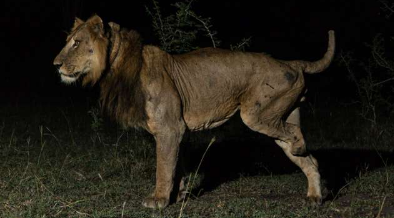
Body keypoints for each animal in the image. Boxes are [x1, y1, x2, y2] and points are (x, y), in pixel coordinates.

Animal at [53, 14, 336, 209]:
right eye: (68, 42)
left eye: (76, 43)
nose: (55, 64)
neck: (117, 66)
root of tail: (290, 62)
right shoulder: (177, 130)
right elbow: (175, 165)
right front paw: (177, 195)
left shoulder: (169, 128)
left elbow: (163, 166)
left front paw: (158, 200)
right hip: (279, 115)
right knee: (310, 159)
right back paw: (314, 196)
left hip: (256, 114)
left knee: (296, 136)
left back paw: (301, 150)